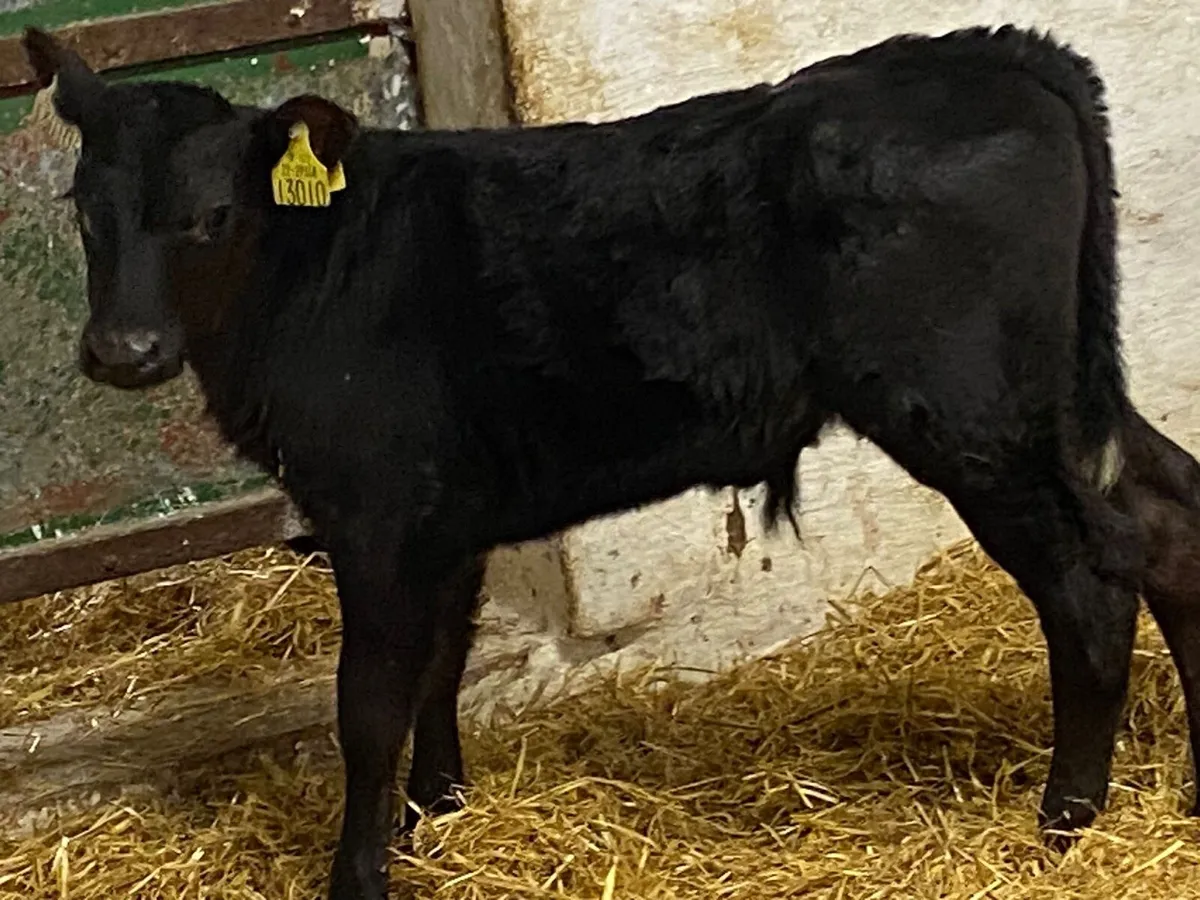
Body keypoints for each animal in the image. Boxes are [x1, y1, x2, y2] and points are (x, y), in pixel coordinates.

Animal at [21, 23, 1200, 900]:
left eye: (211, 215)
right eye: (84, 210)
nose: (124, 350)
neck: (312, 266)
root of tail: (994, 51)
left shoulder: (376, 512)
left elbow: (368, 704)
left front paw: (359, 871)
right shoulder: (446, 516)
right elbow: (441, 665)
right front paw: (435, 813)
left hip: (969, 413)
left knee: (1090, 585)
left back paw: (1065, 820)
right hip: (1056, 399)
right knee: (1169, 515)